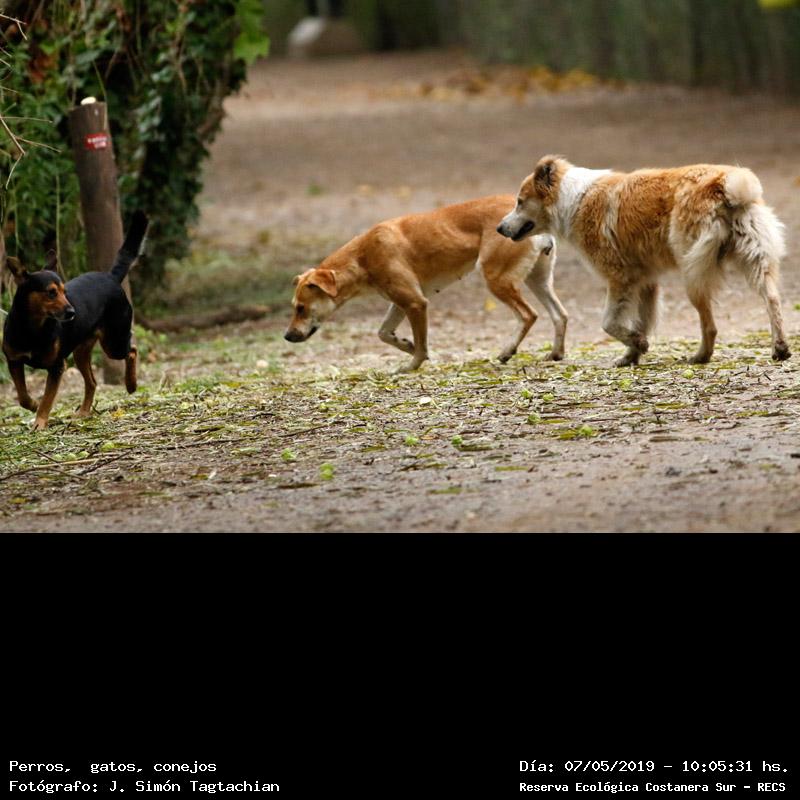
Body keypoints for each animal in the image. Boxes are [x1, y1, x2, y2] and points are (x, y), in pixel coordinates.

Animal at [2, 211, 149, 430]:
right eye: (51, 293)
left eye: (65, 291)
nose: (72, 313)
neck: (33, 328)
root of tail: (111, 277)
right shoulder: (14, 361)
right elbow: (22, 396)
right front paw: (33, 405)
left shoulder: (57, 367)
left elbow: (48, 398)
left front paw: (40, 421)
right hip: (81, 352)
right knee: (92, 382)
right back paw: (84, 412)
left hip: (113, 342)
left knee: (132, 350)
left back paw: (131, 384)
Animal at [284, 196, 568, 372]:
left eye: (300, 308)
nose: (287, 336)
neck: (363, 256)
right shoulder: (400, 302)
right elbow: (384, 333)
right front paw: (405, 345)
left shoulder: (415, 303)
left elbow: (421, 346)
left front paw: (412, 364)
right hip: (538, 281)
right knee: (560, 315)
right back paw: (555, 354)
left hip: (497, 279)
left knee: (528, 315)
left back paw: (508, 350)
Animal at [497, 155, 790, 366]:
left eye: (519, 202)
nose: (500, 228)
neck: (573, 200)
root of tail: (725, 184)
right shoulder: (646, 281)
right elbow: (642, 321)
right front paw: (632, 354)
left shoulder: (619, 278)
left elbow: (609, 323)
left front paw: (638, 345)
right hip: (756, 264)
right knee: (772, 301)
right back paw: (780, 348)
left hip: (692, 274)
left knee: (710, 325)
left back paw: (700, 357)